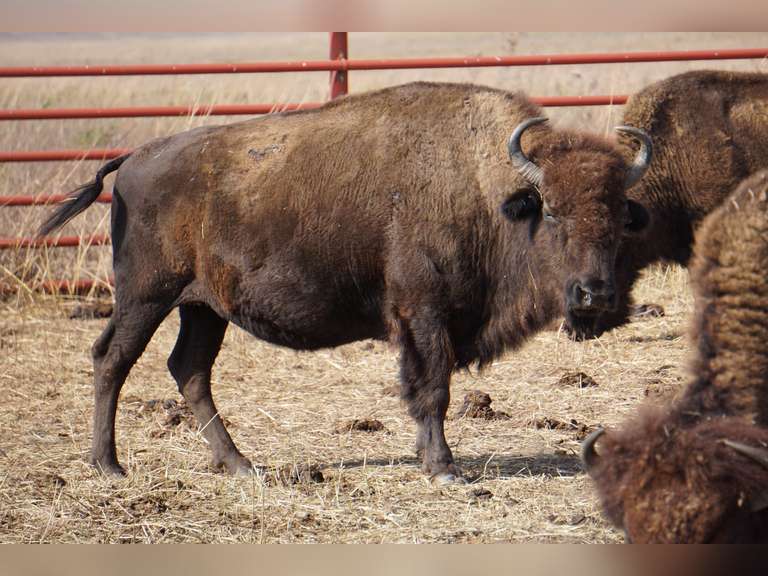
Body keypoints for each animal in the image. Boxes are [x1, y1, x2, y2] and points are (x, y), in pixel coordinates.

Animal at [41, 82, 651, 483]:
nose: (595, 294)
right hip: (147, 295)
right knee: (113, 359)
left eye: (619, 216)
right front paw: (444, 469)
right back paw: (110, 465)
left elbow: (427, 390)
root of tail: (132, 159)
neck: (487, 190)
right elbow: (432, 389)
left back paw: (240, 465)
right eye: (552, 212)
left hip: (203, 307)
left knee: (189, 369)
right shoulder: (424, 316)